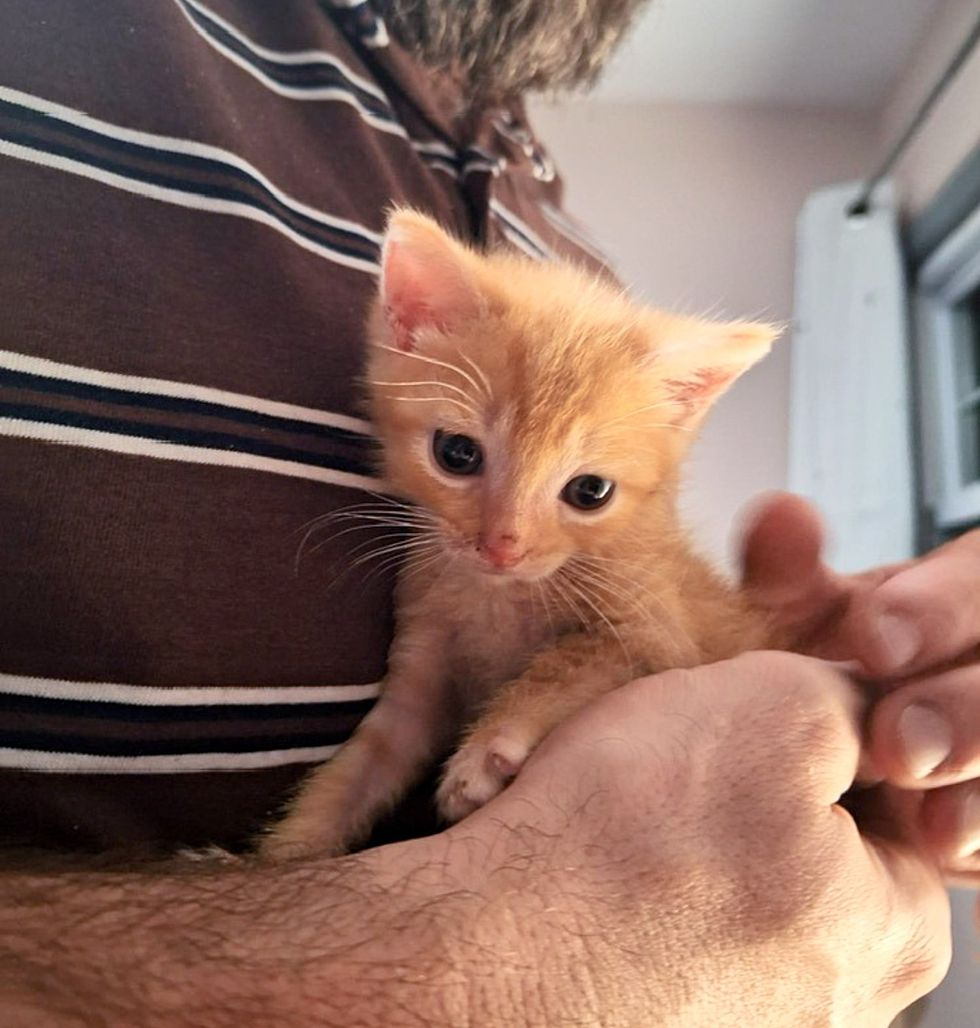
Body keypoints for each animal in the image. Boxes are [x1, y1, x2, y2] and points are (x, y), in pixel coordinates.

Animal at [260, 208, 781, 859]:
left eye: (590, 492)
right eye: (456, 453)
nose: (502, 545)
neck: (500, 599)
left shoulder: (661, 637)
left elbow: (575, 657)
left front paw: (488, 746)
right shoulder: (421, 664)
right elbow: (364, 764)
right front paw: (284, 852)